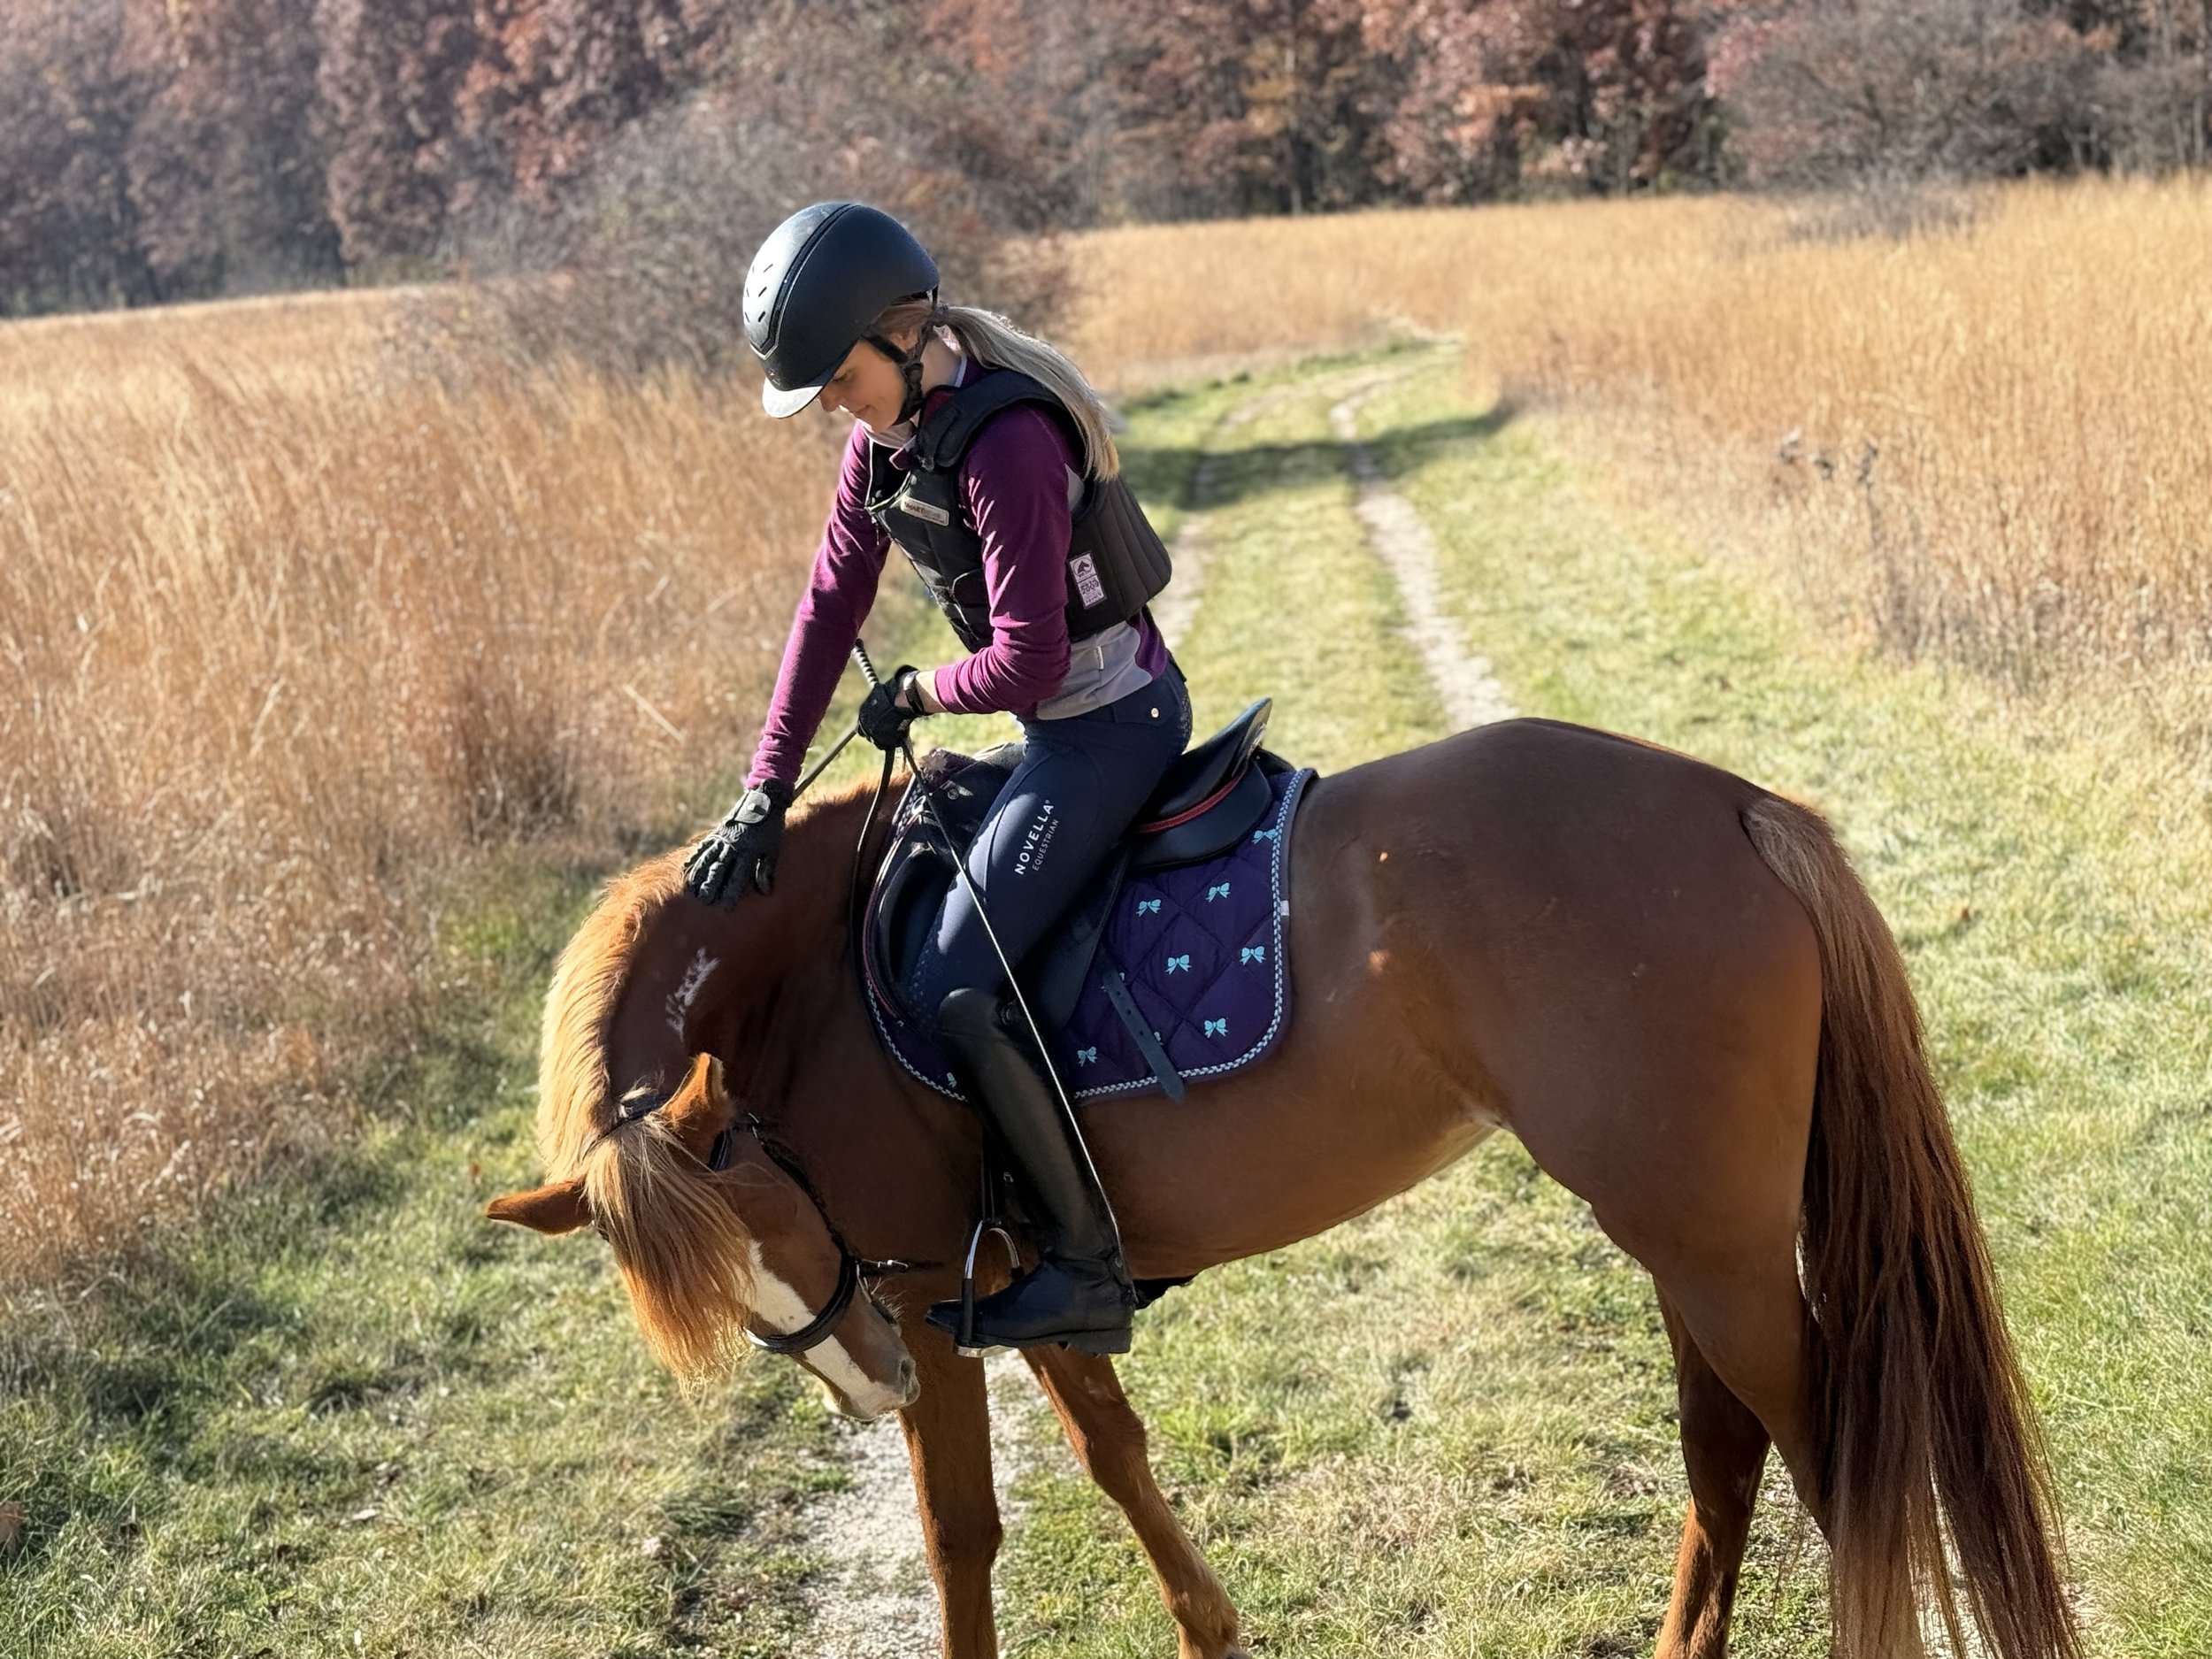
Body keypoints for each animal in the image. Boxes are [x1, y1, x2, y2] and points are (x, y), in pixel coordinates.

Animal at [487, 715, 2079, 1659]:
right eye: (723, 1292)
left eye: (777, 1211)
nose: (862, 1382)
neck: (815, 977)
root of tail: (1738, 804)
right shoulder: (1021, 1285)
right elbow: (1116, 1455)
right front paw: (1213, 1630)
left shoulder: (935, 1299)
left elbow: (962, 1532)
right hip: (1693, 1241)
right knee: (1725, 1455)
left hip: (1715, 1249)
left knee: (1834, 1470)